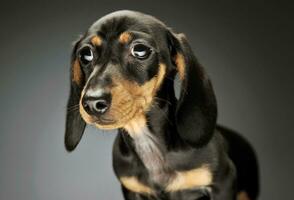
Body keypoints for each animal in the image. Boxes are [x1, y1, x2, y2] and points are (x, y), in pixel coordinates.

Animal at [65, 10, 260, 200]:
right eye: (85, 55)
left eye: (140, 50)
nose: (92, 102)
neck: (147, 141)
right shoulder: (132, 190)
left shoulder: (223, 183)